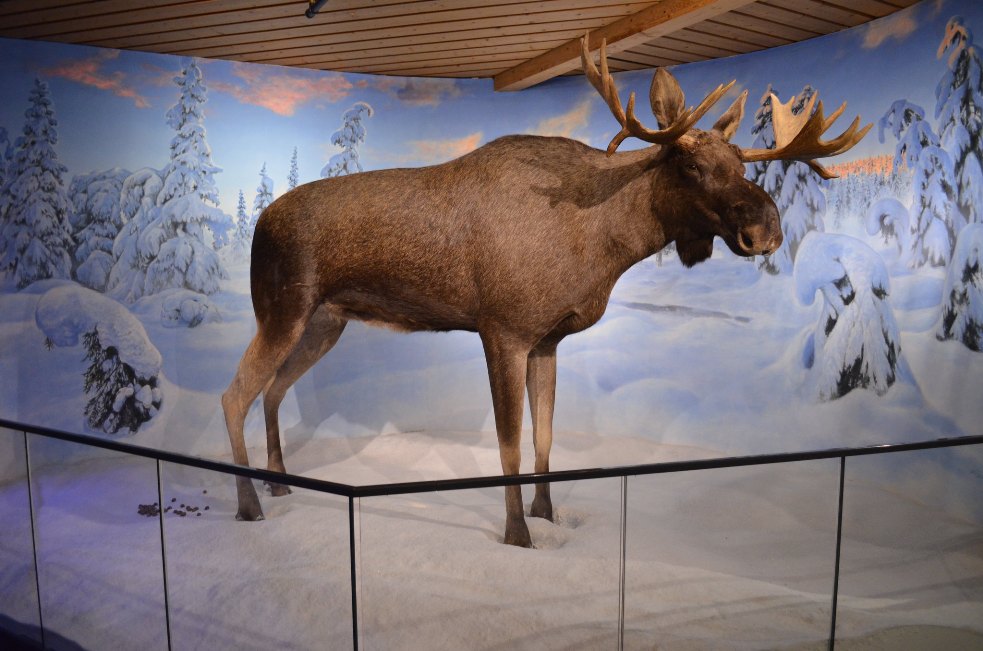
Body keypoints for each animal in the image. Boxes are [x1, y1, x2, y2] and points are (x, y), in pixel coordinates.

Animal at [221, 34, 868, 544]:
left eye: (742, 163)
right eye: (689, 166)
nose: (767, 227)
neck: (600, 247)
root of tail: (259, 224)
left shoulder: (548, 339)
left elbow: (547, 435)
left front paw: (548, 515)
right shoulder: (502, 330)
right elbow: (509, 441)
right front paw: (518, 534)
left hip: (325, 320)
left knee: (271, 391)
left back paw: (279, 486)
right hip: (283, 309)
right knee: (234, 395)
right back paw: (248, 505)